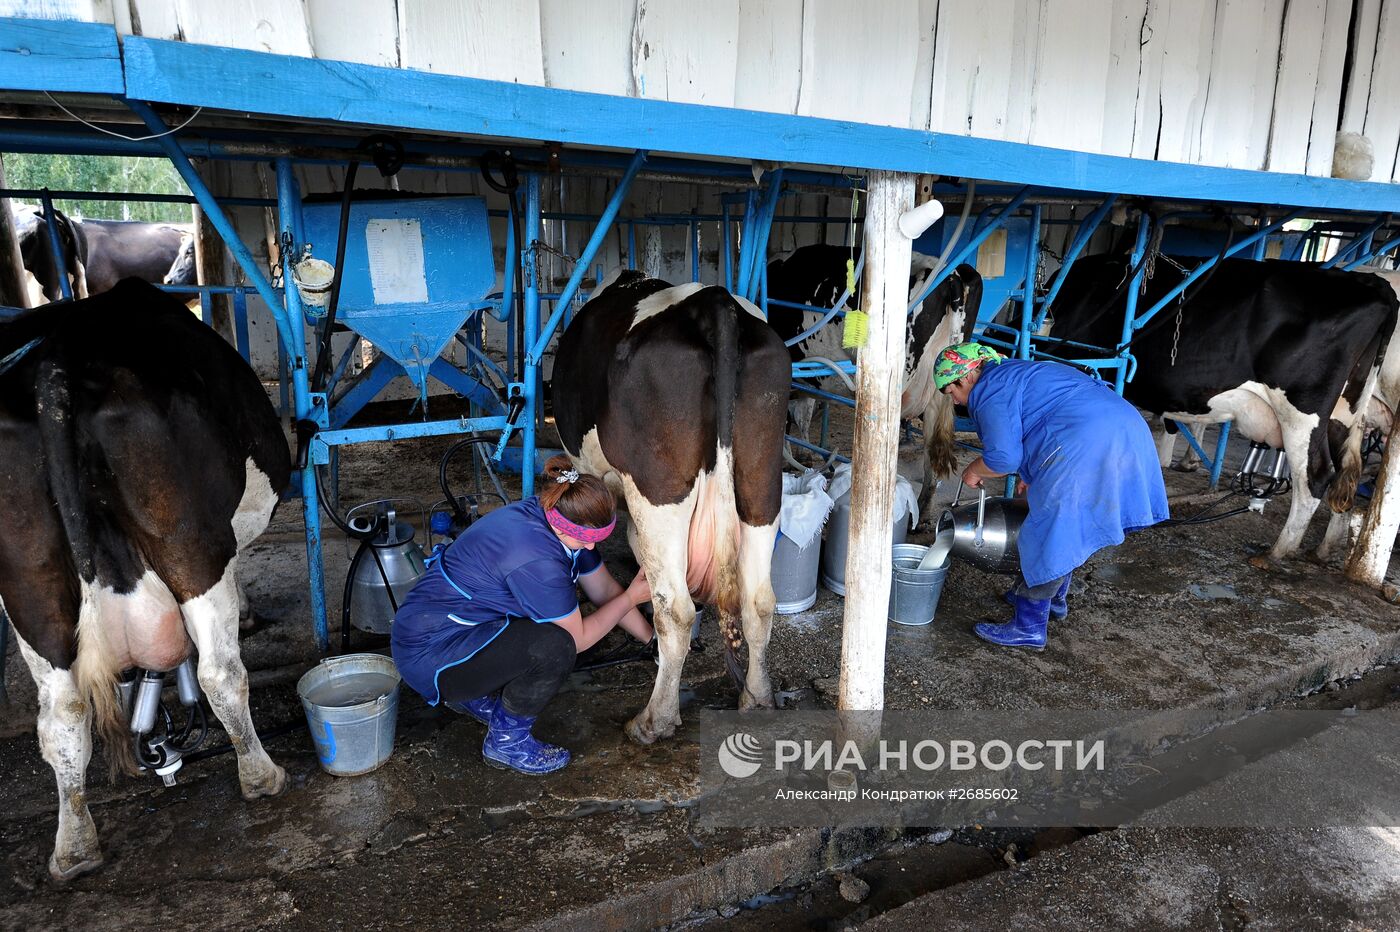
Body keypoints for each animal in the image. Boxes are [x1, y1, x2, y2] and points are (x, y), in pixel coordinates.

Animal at [2, 277, 291, 878]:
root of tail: (58, 357)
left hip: (28, 579)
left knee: (61, 714)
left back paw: (74, 848)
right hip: (190, 543)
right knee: (220, 673)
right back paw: (261, 775)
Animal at [554, 268, 795, 738]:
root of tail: (714, 302)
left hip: (658, 488)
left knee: (677, 609)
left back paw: (654, 719)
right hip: (761, 478)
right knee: (758, 600)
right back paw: (757, 697)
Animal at [761, 244, 980, 523]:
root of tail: (952, 274)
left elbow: (790, 419)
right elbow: (803, 414)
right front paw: (803, 454)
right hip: (940, 393)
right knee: (932, 457)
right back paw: (920, 516)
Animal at [1052, 250, 1400, 562]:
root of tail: (1372, 284)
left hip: (1303, 411)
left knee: (1315, 476)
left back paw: (1277, 552)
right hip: (1345, 413)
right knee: (1346, 472)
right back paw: (1324, 549)